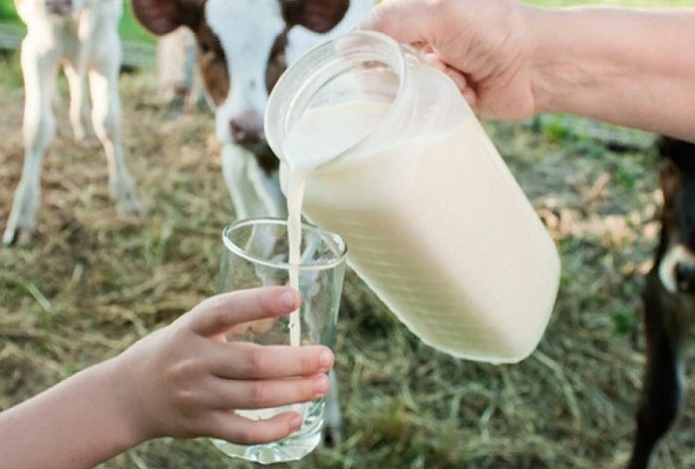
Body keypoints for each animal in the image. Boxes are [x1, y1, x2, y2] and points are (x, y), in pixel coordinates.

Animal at [4, 0, 144, 245]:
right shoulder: (36, 49)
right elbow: (37, 126)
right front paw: (23, 214)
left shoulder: (108, 47)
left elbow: (109, 121)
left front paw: (126, 194)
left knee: (75, 72)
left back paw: (85, 128)